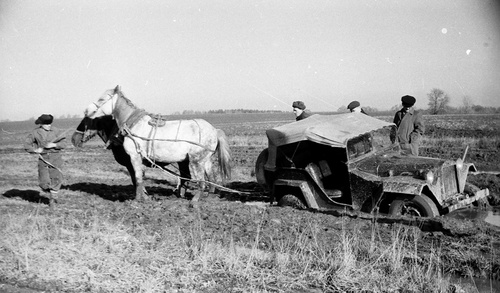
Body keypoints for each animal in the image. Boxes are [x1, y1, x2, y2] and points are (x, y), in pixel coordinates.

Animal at [84, 85, 232, 202]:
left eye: (102, 99)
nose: (86, 110)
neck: (133, 124)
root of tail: (214, 130)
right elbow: (139, 178)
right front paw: (144, 197)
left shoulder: (134, 156)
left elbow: (137, 178)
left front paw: (137, 200)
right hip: (205, 159)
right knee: (211, 178)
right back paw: (208, 196)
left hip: (196, 160)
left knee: (201, 181)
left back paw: (194, 201)